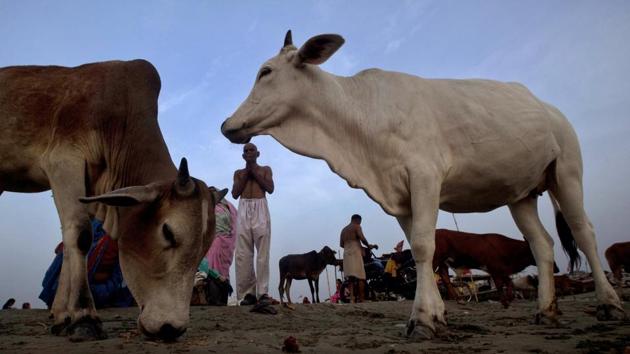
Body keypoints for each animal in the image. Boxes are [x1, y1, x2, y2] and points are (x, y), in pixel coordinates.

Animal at [0, 59, 227, 342]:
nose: (170, 328)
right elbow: (79, 236)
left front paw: (63, 316)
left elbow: (68, 243)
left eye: (204, 249)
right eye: (167, 232)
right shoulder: (63, 162)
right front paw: (84, 317)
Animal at [434, 230, 564, 306]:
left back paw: (458, 299)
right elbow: (500, 286)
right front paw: (505, 301)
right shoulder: (495, 268)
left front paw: (508, 299)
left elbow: (509, 283)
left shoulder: (501, 270)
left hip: (443, 263)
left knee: (445, 278)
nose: (556, 269)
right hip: (436, 258)